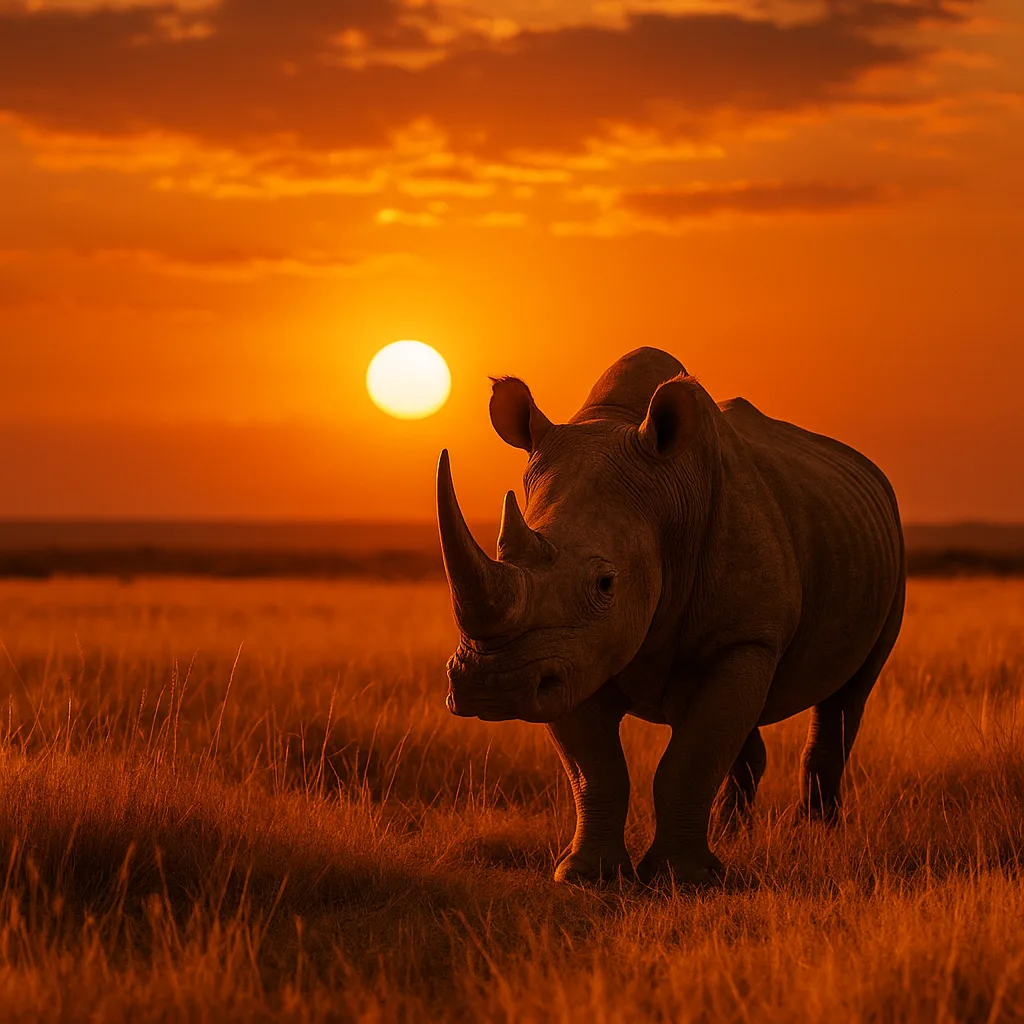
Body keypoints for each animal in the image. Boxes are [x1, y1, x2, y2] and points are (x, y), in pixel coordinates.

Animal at [437, 347, 905, 885]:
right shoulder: (571, 653)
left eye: (605, 583)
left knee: (847, 696)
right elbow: (597, 769)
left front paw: (683, 880)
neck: (666, 501)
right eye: (501, 552)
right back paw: (733, 834)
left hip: (888, 550)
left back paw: (815, 838)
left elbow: (690, 760)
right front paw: (587, 876)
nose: (492, 686)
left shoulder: (739, 637)